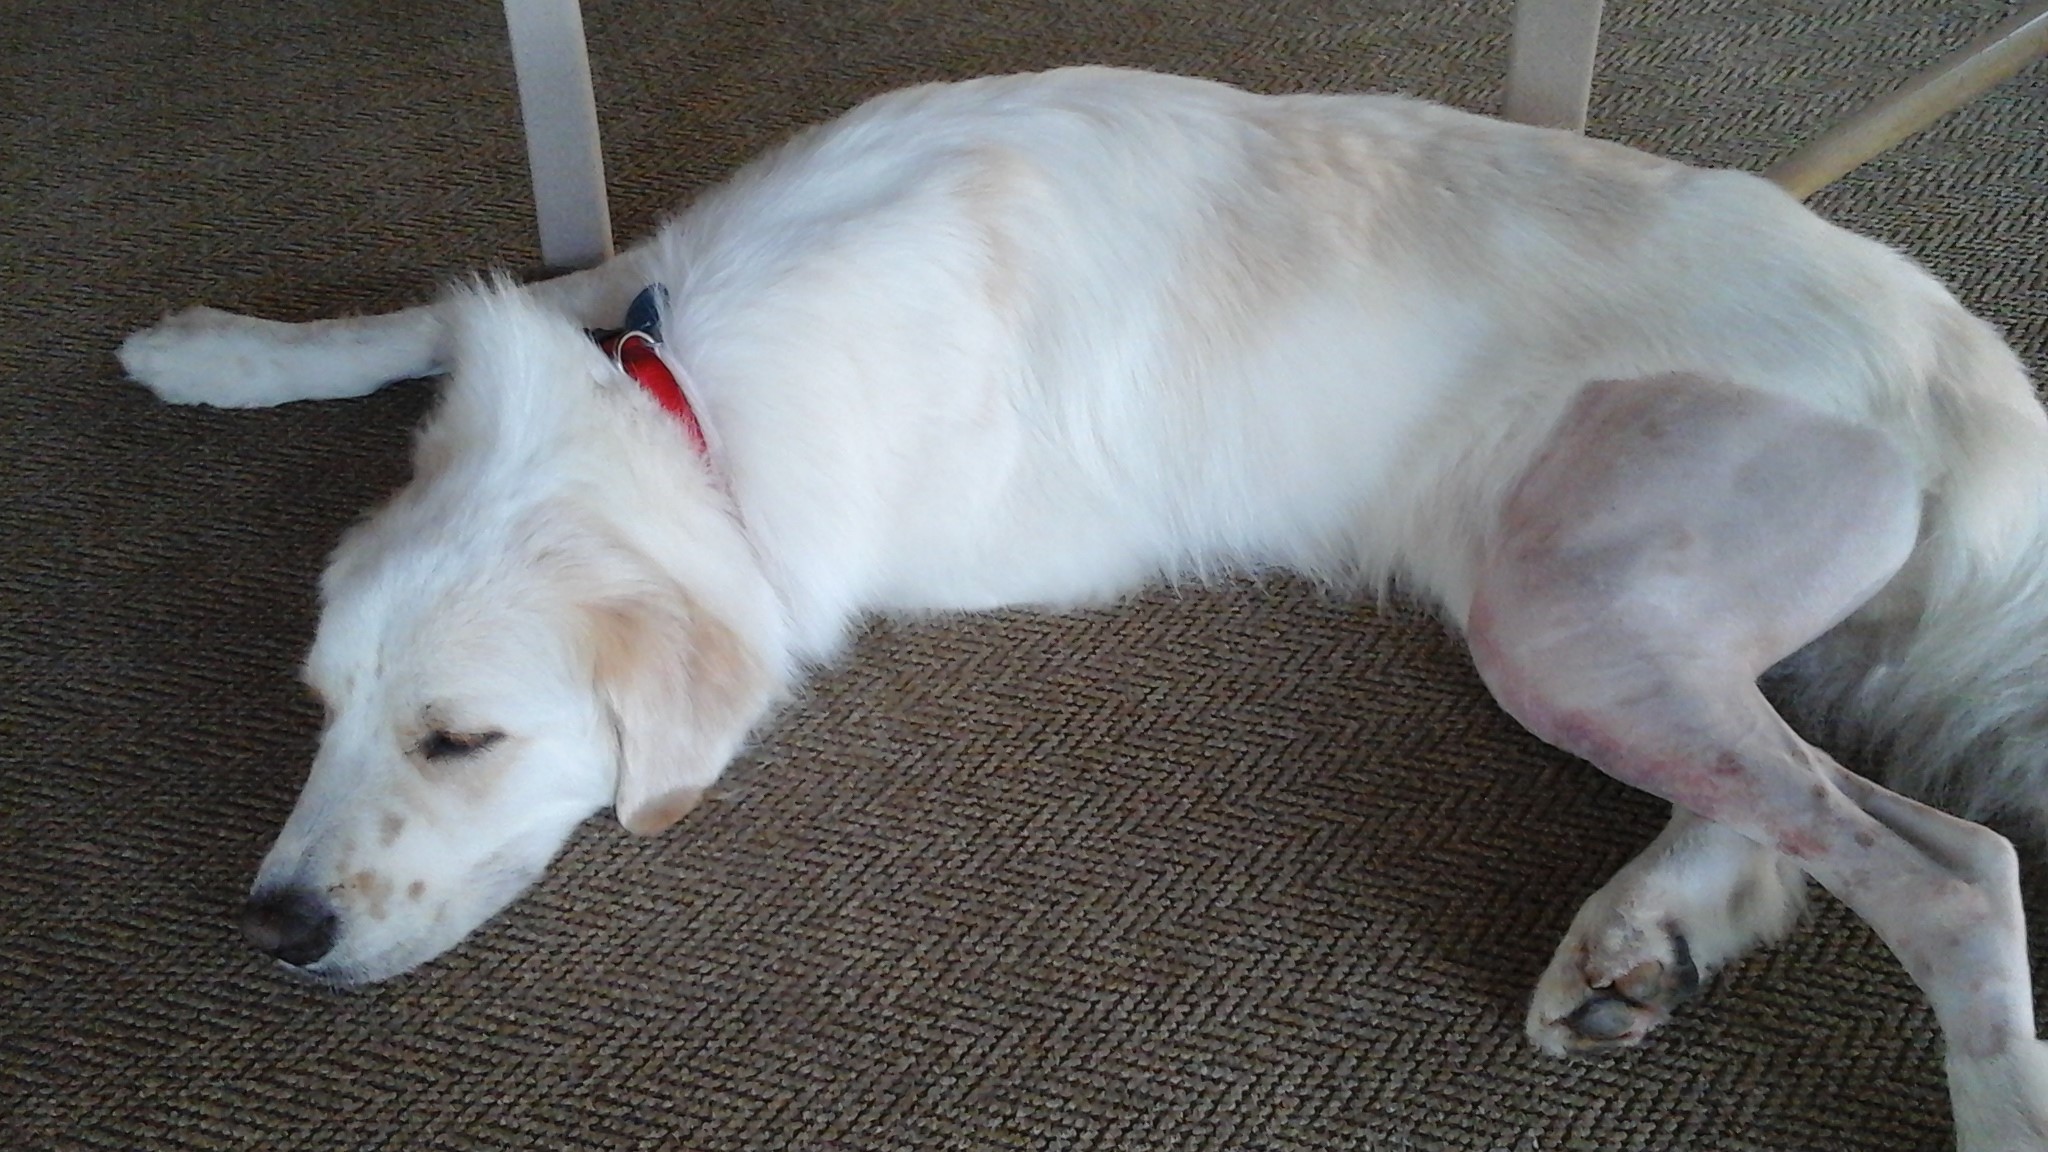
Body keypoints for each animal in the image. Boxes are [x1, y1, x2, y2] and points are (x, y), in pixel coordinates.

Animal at [119, 67, 2048, 1149]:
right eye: (319, 708)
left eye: (462, 740)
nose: (273, 924)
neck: (686, 402)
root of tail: (1965, 370)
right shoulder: (619, 286)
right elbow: (452, 309)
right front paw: (218, 353)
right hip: (1609, 616)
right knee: (1800, 798)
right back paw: (1644, 939)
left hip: (1562, 608)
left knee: (1951, 869)